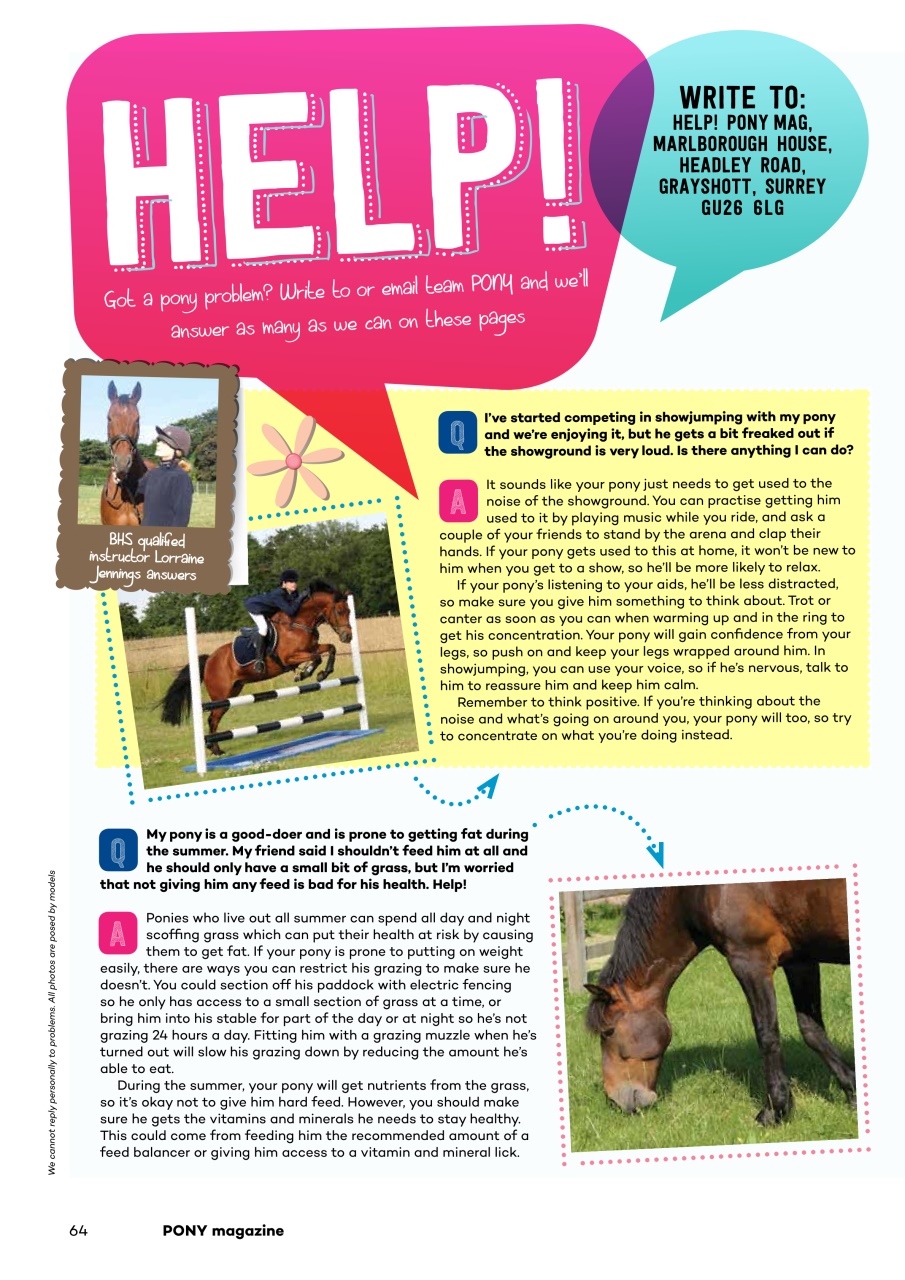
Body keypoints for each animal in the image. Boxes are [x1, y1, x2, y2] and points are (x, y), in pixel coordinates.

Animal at [160, 581, 354, 755]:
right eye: (339, 611)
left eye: (349, 611)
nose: (348, 637)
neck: (299, 623)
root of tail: (209, 660)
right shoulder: (290, 657)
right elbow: (316, 657)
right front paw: (307, 673)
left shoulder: (313, 648)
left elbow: (330, 648)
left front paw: (322, 674)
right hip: (220, 695)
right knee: (212, 718)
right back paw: (214, 749)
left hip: (233, 692)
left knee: (215, 719)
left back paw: (215, 748)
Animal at [584, 880, 855, 1125]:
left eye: (608, 1032)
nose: (614, 1101)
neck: (693, 891)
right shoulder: (800, 960)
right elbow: (812, 1031)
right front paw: (852, 1092)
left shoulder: (750, 961)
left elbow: (767, 1035)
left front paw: (774, 1111)